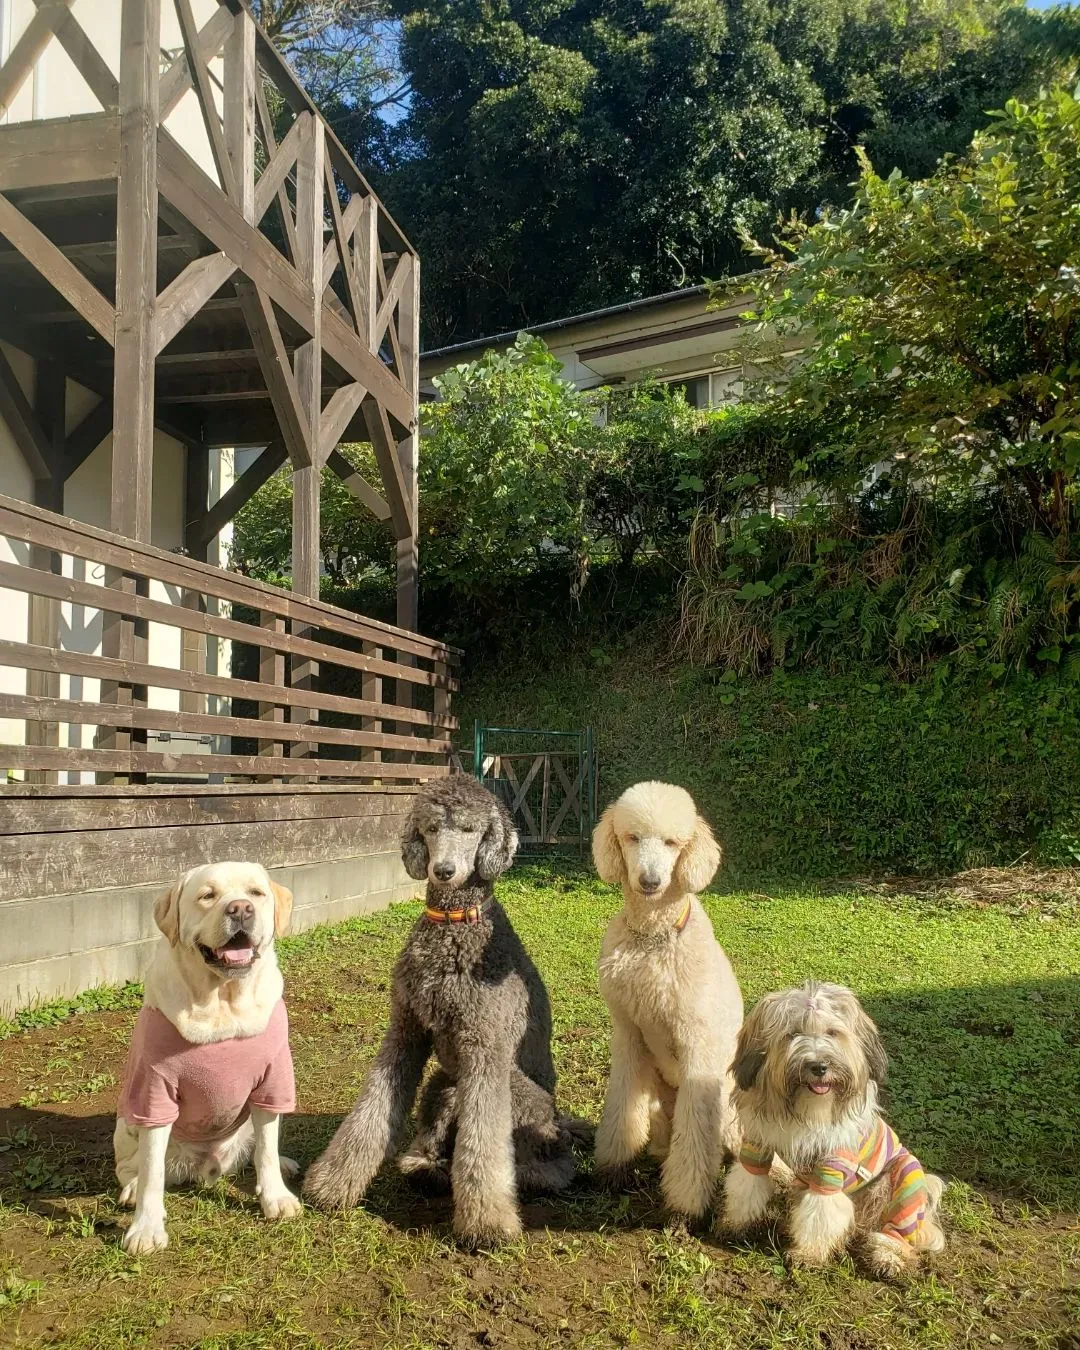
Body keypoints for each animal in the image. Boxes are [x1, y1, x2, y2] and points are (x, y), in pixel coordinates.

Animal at [299, 777, 577, 1247]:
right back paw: (426, 1168)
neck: (452, 926)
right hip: (443, 1085)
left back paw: (528, 1177)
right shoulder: (405, 1033)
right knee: (434, 1140)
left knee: (547, 1167)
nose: (443, 870)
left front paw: (487, 1224)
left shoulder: (485, 1048)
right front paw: (332, 1185)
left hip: (518, 1096)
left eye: (468, 829)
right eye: (430, 828)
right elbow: (371, 1110)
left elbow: (483, 1141)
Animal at [591, 783, 745, 1225]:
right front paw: (613, 1167)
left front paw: (686, 1205)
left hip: (729, 1111)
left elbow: (695, 1140)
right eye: (632, 838)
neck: (652, 939)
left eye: (673, 843)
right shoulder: (628, 1032)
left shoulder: (698, 1048)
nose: (650, 881)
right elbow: (621, 1104)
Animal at [723, 982, 945, 1274]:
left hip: (905, 1182)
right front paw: (737, 1226)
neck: (806, 1110)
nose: (819, 1066)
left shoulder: (832, 1166)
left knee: (899, 1229)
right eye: (792, 1034)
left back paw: (888, 1256)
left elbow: (820, 1212)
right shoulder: (757, 1147)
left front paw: (808, 1254)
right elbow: (746, 1185)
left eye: (832, 1032)